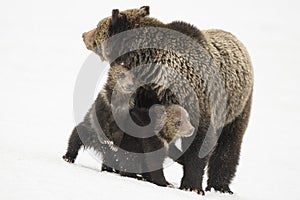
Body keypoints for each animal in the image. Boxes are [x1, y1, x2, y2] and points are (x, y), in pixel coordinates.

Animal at [81, 6, 253, 195]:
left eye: (98, 25)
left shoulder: (196, 101)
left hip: (237, 106)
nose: (84, 34)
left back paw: (220, 185)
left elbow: (199, 143)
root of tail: (236, 40)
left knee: (229, 144)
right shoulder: (144, 98)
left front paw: (191, 185)